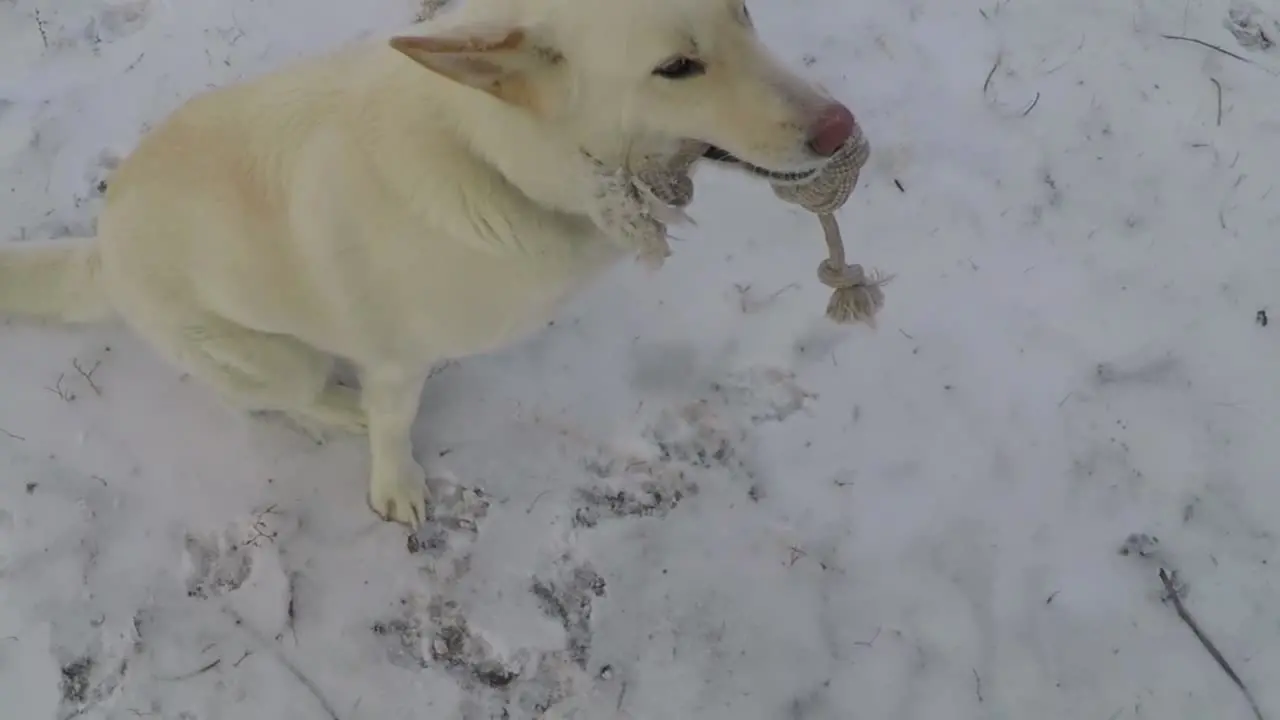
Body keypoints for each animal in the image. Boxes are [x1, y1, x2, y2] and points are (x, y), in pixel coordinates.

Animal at [2, 0, 860, 527]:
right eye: (677, 68)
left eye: (743, 13)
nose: (841, 128)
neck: (498, 156)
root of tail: (101, 249)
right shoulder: (392, 359)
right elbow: (394, 425)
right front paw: (396, 486)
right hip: (269, 358)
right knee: (281, 397)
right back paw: (337, 406)